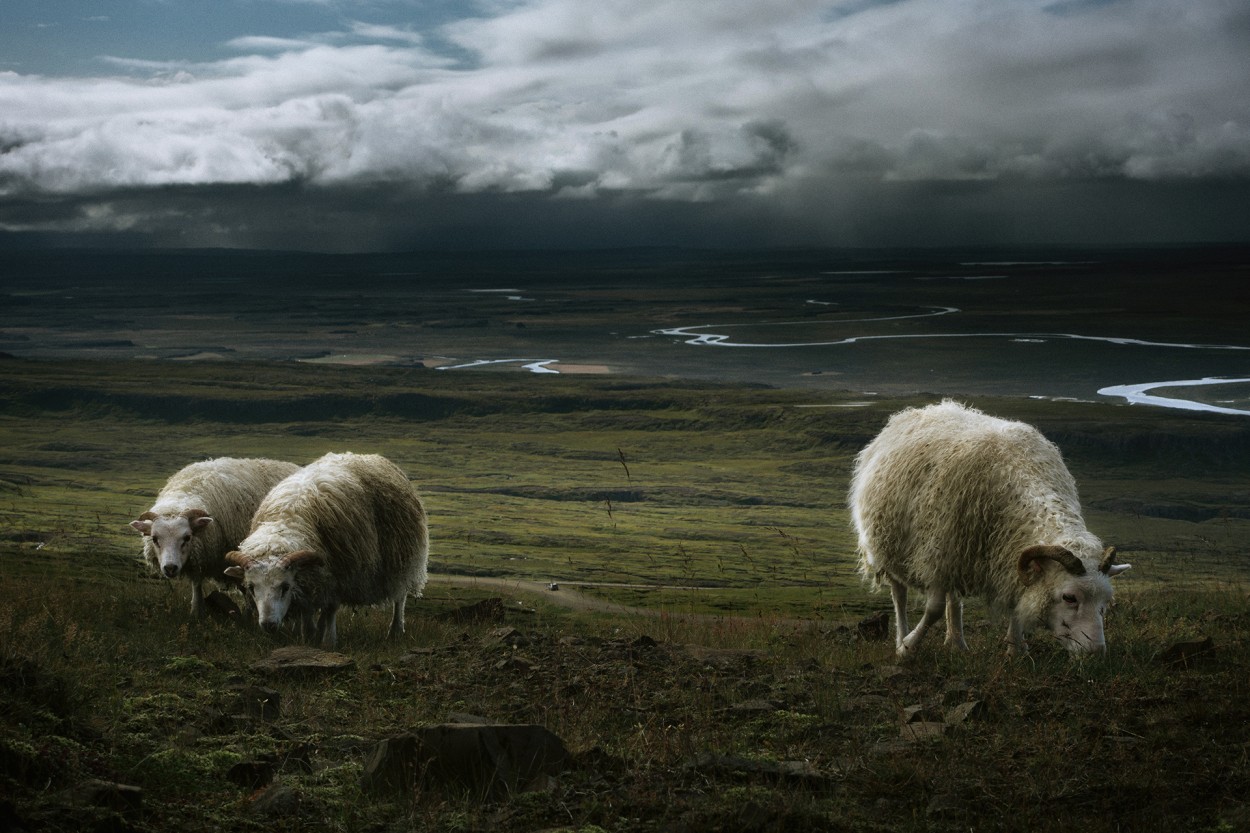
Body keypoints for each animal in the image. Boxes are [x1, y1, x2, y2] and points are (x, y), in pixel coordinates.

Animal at [129, 457, 300, 612]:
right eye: (154, 539)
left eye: (187, 538)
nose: (170, 568)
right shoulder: (200, 557)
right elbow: (197, 585)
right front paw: (196, 611)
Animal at [225, 450, 435, 645]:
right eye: (251, 587)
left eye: (285, 587)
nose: (268, 625)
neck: (287, 521)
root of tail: (365, 455)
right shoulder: (315, 578)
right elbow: (308, 609)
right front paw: (308, 633)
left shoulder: (339, 573)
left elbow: (331, 608)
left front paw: (329, 640)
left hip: (401, 558)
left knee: (400, 597)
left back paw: (395, 631)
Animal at [850, 397, 1135, 655]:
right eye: (1069, 597)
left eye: (1105, 601)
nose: (1096, 652)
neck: (1017, 471)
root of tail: (922, 410)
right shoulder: (938, 554)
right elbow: (933, 610)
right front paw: (908, 648)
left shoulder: (999, 553)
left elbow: (1015, 603)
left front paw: (1015, 649)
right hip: (889, 546)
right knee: (899, 595)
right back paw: (902, 637)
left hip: (957, 552)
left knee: (954, 599)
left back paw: (957, 642)